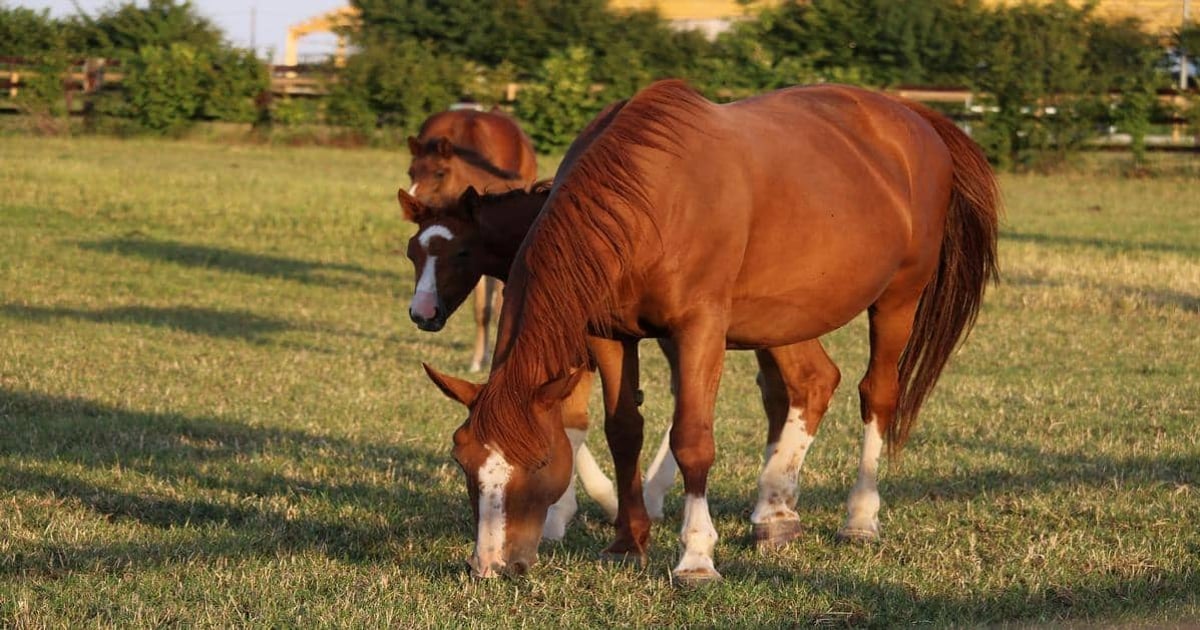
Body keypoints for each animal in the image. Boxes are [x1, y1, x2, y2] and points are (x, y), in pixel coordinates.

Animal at [422, 80, 1000, 582]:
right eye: (462, 459)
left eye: (541, 460)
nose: (491, 565)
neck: (646, 198)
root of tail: (912, 115)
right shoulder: (608, 333)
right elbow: (622, 429)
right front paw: (628, 541)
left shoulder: (699, 329)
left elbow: (692, 439)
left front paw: (695, 558)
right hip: (787, 316)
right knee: (811, 384)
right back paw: (775, 511)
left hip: (897, 299)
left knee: (876, 393)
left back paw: (859, 517)